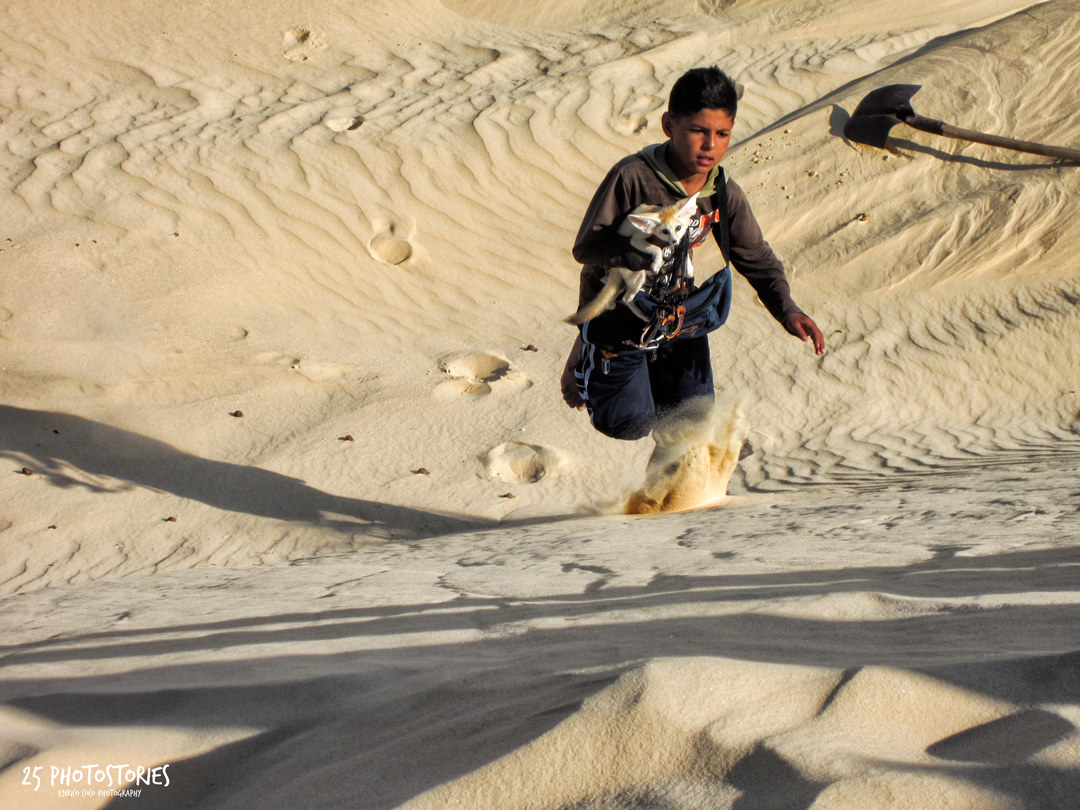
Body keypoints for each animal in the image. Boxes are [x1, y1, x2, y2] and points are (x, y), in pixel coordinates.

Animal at [566, 193, 699, 325]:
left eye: (678, 228)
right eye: (665, 231)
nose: (674, 241)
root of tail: (615, 267)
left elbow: (685, 254)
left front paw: (689, 269)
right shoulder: (636, 240)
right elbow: (657, 249)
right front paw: (657, 262)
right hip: (639, 276)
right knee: (626, 299)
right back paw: (641, 314)